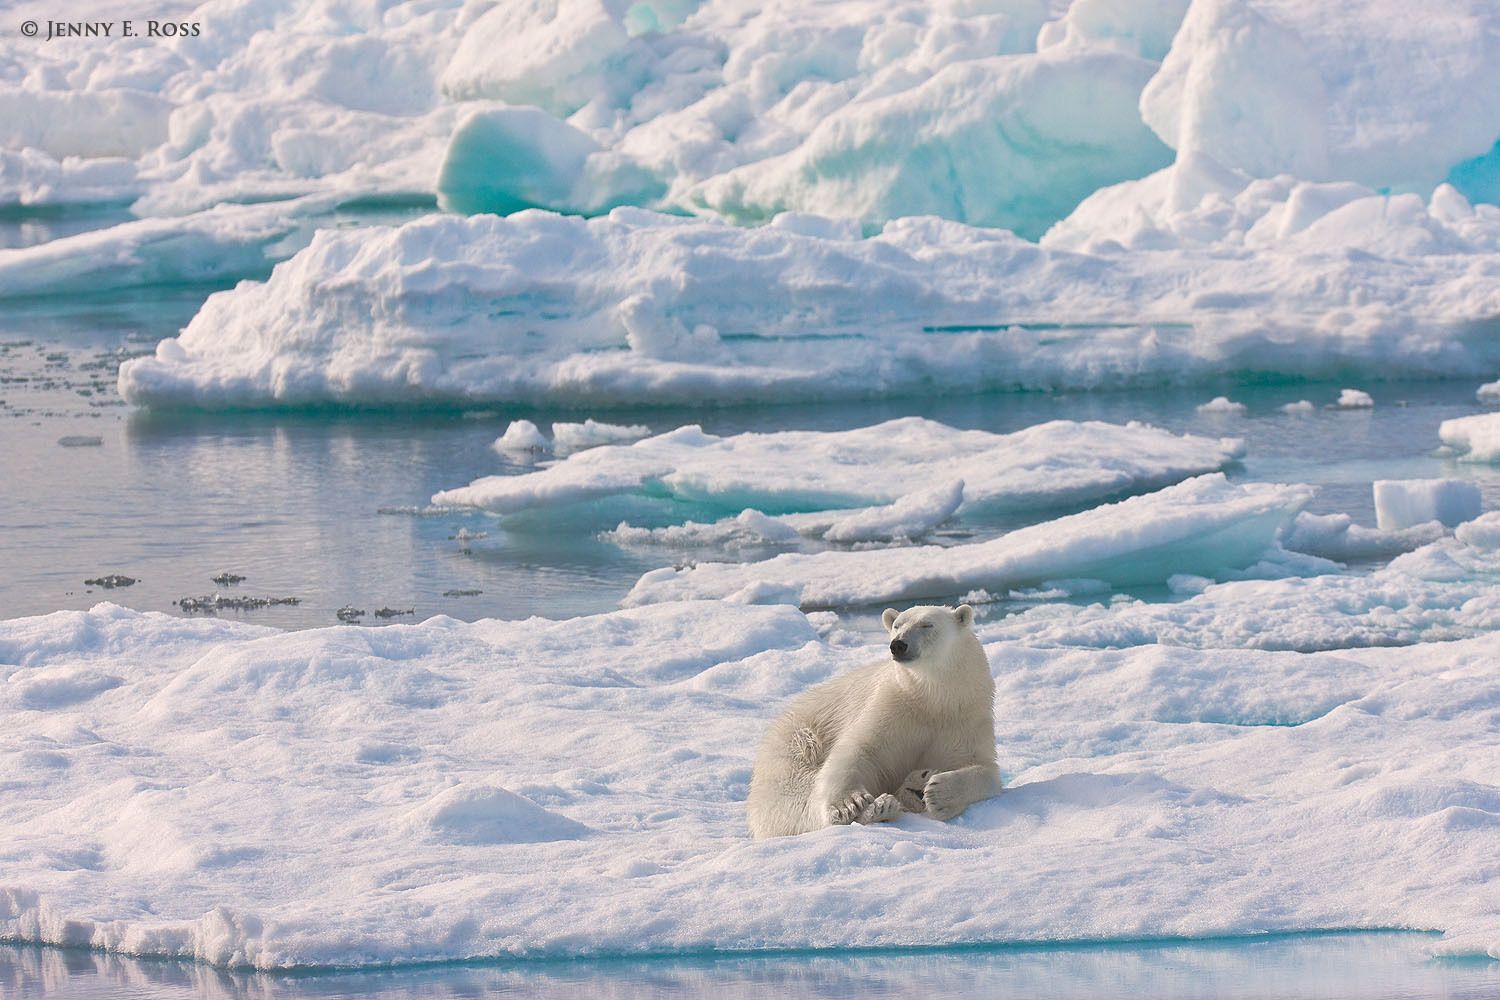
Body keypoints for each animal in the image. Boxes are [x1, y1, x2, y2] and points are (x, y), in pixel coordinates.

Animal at [746, 603, 1002, 838]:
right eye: (897, 625)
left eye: (927, 625)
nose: (898, 644)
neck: (933, 700)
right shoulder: (891, 704)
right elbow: (860, 748)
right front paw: (849, 804)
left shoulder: (966, 718)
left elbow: (985, 770)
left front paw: (939, 793)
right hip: (796, 747)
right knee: (793, 798)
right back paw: (881, 807)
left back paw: (914, 786)